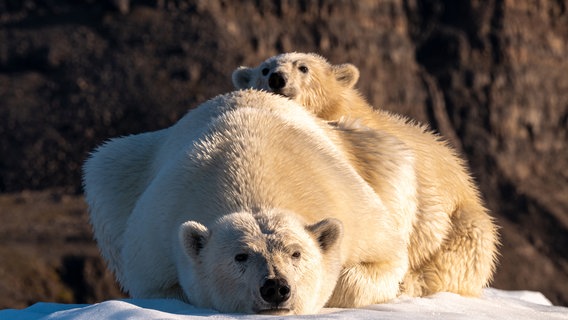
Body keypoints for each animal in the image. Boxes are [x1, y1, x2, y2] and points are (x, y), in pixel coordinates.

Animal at [85, 89, 422, 314]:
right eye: (241, 256)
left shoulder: (348, 203)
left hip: (373, 154)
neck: (252, 176)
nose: (275, 287)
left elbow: (384, 257)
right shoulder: (156, 234)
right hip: (121, 171)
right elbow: (163, 286)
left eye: (296, 253)